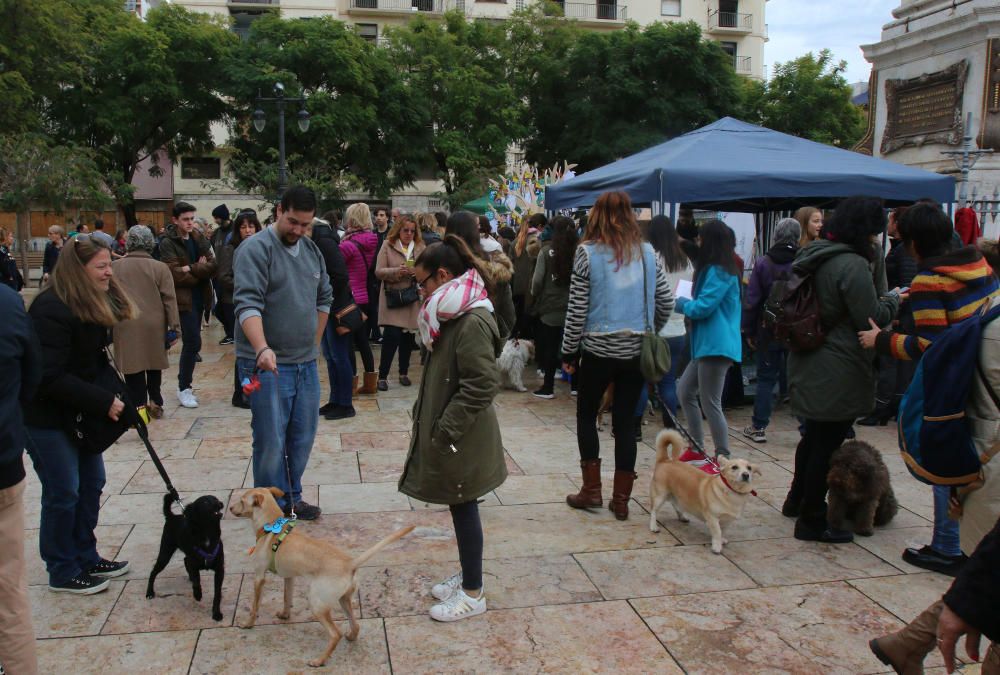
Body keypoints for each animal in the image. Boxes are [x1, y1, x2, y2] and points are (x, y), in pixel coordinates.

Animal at [230, 488, 414, 668]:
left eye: (241, 501)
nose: (230, 508)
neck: (271, 526)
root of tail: (349, 563)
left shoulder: (259, 577)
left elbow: (254, 607)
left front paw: (247, 624)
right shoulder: (289, 577)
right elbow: (286, 598)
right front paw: (284, 615)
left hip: (317, 604)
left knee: (335, 634)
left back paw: (319, 661)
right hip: (343, 599)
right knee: (355, 624)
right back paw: (350, 637)